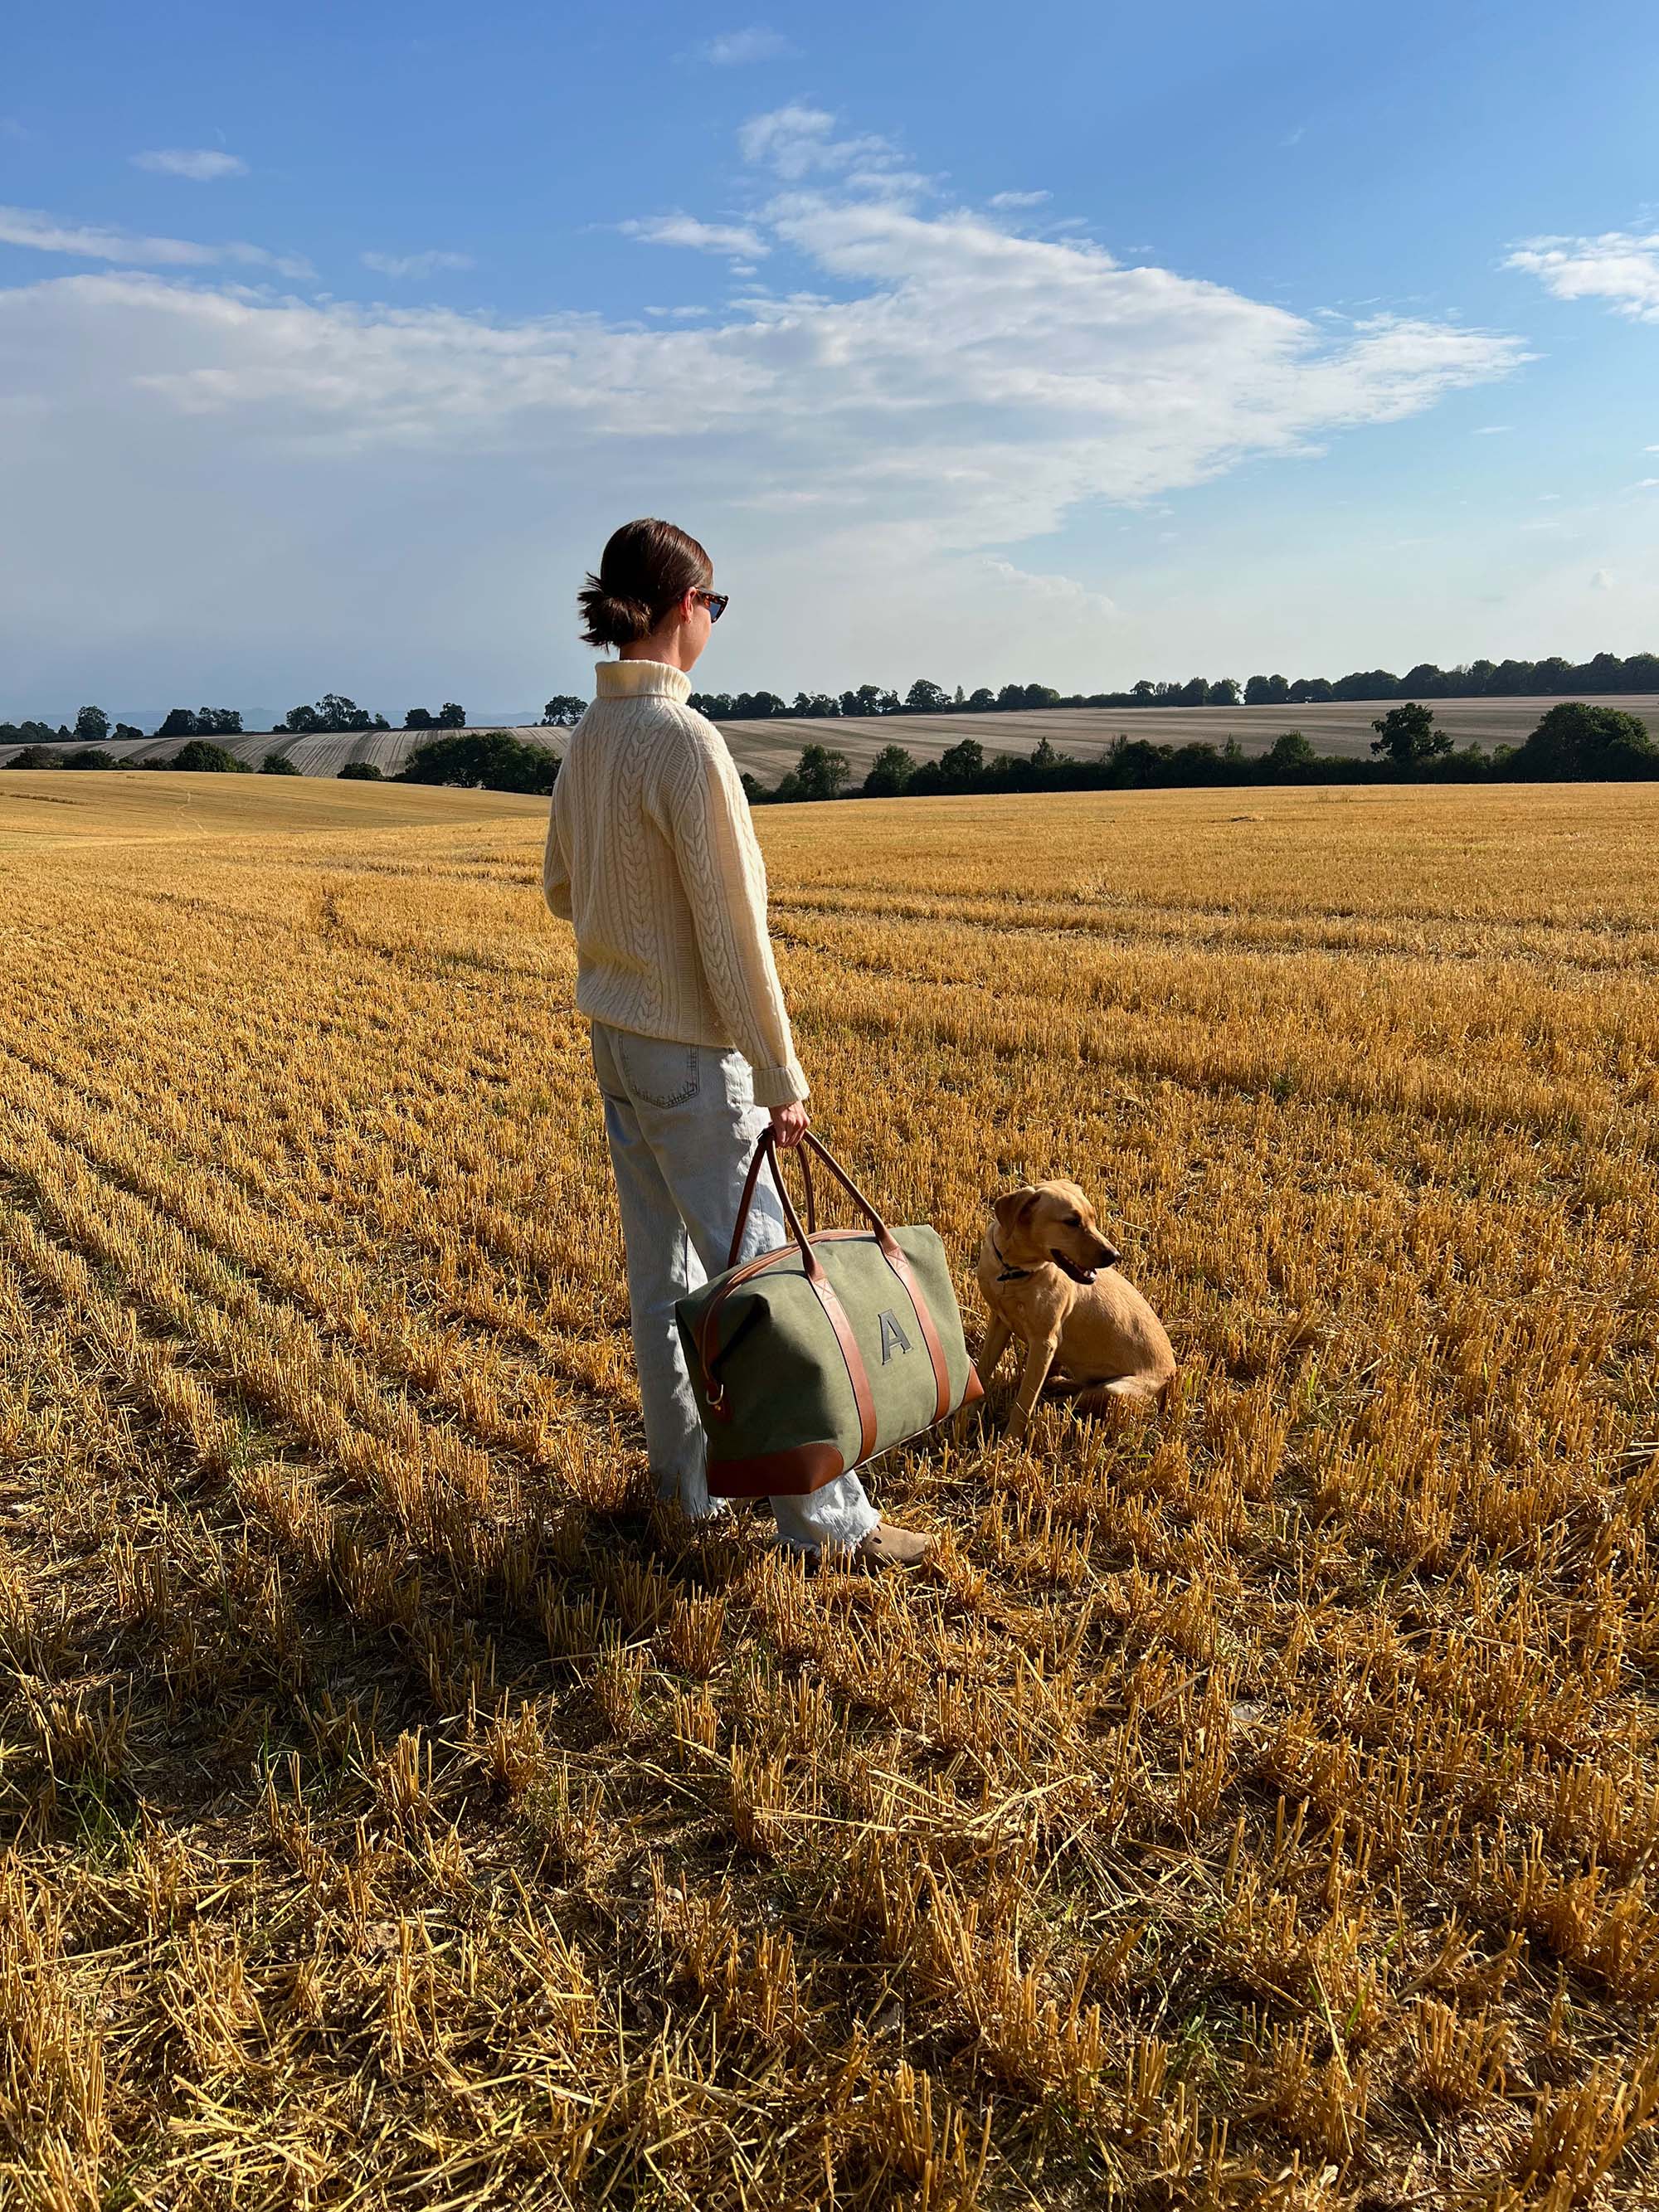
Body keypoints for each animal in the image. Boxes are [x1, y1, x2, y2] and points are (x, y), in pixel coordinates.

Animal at [982, 1176, 1176, 1433]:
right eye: (1072, 1222)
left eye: (1093, 1218)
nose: (1115, 1255)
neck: (1014, 1271)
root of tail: (1171, 1377)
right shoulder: (999, 1321)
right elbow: (982, 1371)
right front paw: (963, 1415)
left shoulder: (1045, 1342)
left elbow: (1024, 1402)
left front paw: (1009, 1441)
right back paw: (1055, 1382)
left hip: (1114, 1390)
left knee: (1070, 1402)